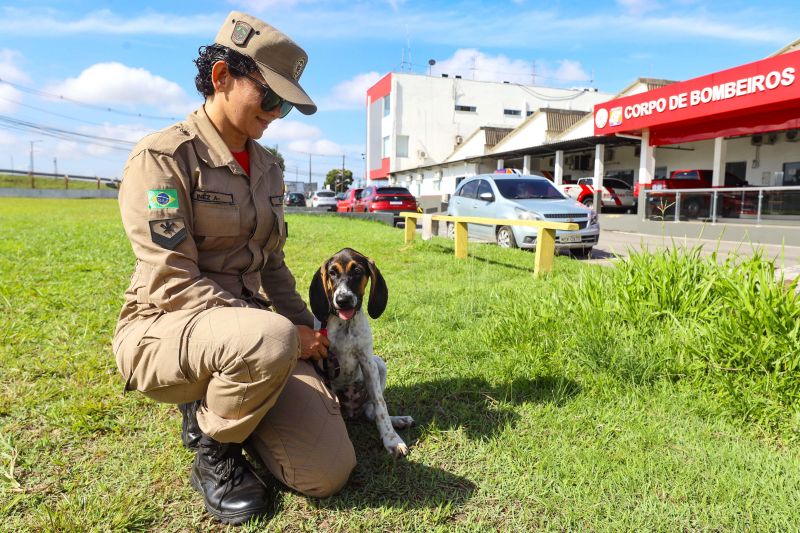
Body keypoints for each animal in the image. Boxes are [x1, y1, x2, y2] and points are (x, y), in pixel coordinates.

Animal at [310, 247, 416, 456]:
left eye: (357, 271)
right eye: (332, 273)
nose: (342, 300)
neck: (345, 325)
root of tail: (352, 412)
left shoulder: (367, 361)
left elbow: (381, 405)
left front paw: (391, 440)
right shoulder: (323, 364)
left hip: (379, 363)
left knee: (371, 411)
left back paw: (398, 420)